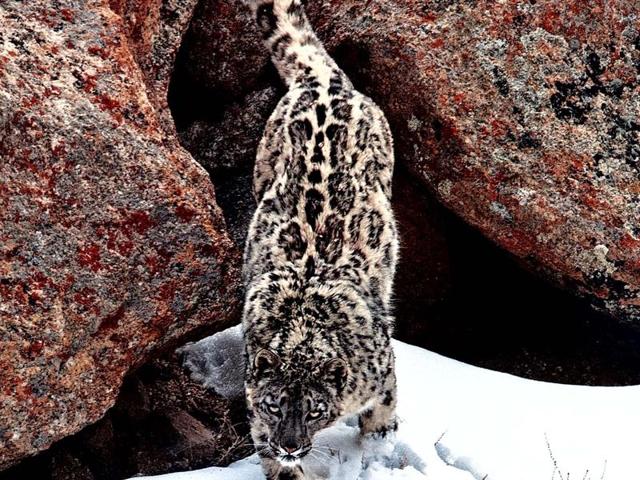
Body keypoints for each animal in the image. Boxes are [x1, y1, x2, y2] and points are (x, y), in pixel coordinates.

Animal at [241, 1, 399, 478]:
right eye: (274, 404)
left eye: (314, 408)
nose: (290, 445)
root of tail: (323, 82)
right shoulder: (256, 414)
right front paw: (288, 468)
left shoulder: (383, 371)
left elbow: (383, 408)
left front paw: (378, 445)